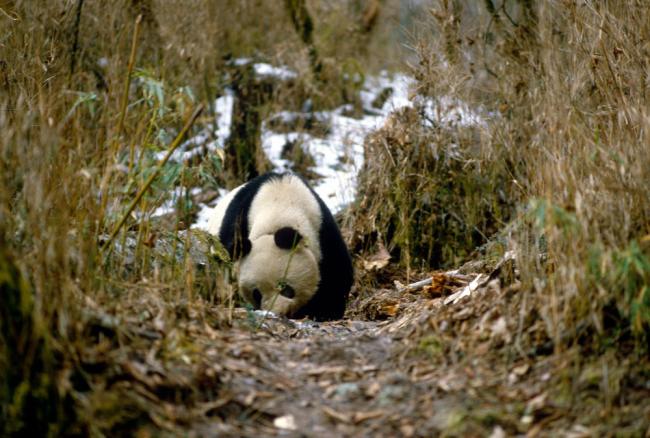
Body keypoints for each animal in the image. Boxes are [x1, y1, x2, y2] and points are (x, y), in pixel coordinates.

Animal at [206, 172, 352, 322]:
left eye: (285, 288)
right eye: (257, 294)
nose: (277, 312)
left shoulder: (322, 229)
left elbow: (336, 272)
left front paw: (324, 312)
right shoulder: (238, 222)